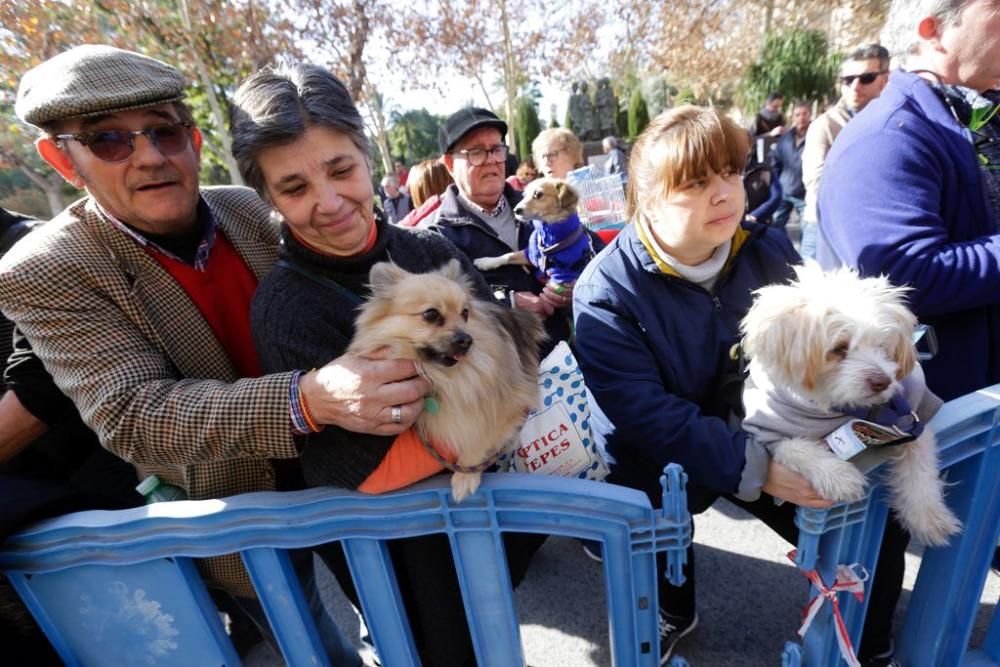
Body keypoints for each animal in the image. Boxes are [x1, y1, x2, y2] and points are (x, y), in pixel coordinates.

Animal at [346, 260, 548, 500]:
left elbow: (479, 435)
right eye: (431, 315)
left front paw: (465, 475)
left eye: (465, 314)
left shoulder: (511, 407)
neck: (442, 375)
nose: (466, 339)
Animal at [744, 262, 960, 548]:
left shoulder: (910, 422)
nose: (882, 381)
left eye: (883, 347)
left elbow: (920, 466)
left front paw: (928, 516)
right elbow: (795, 447)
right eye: (839, 348)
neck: (840, 407)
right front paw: (838, 476)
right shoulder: (766, 431)